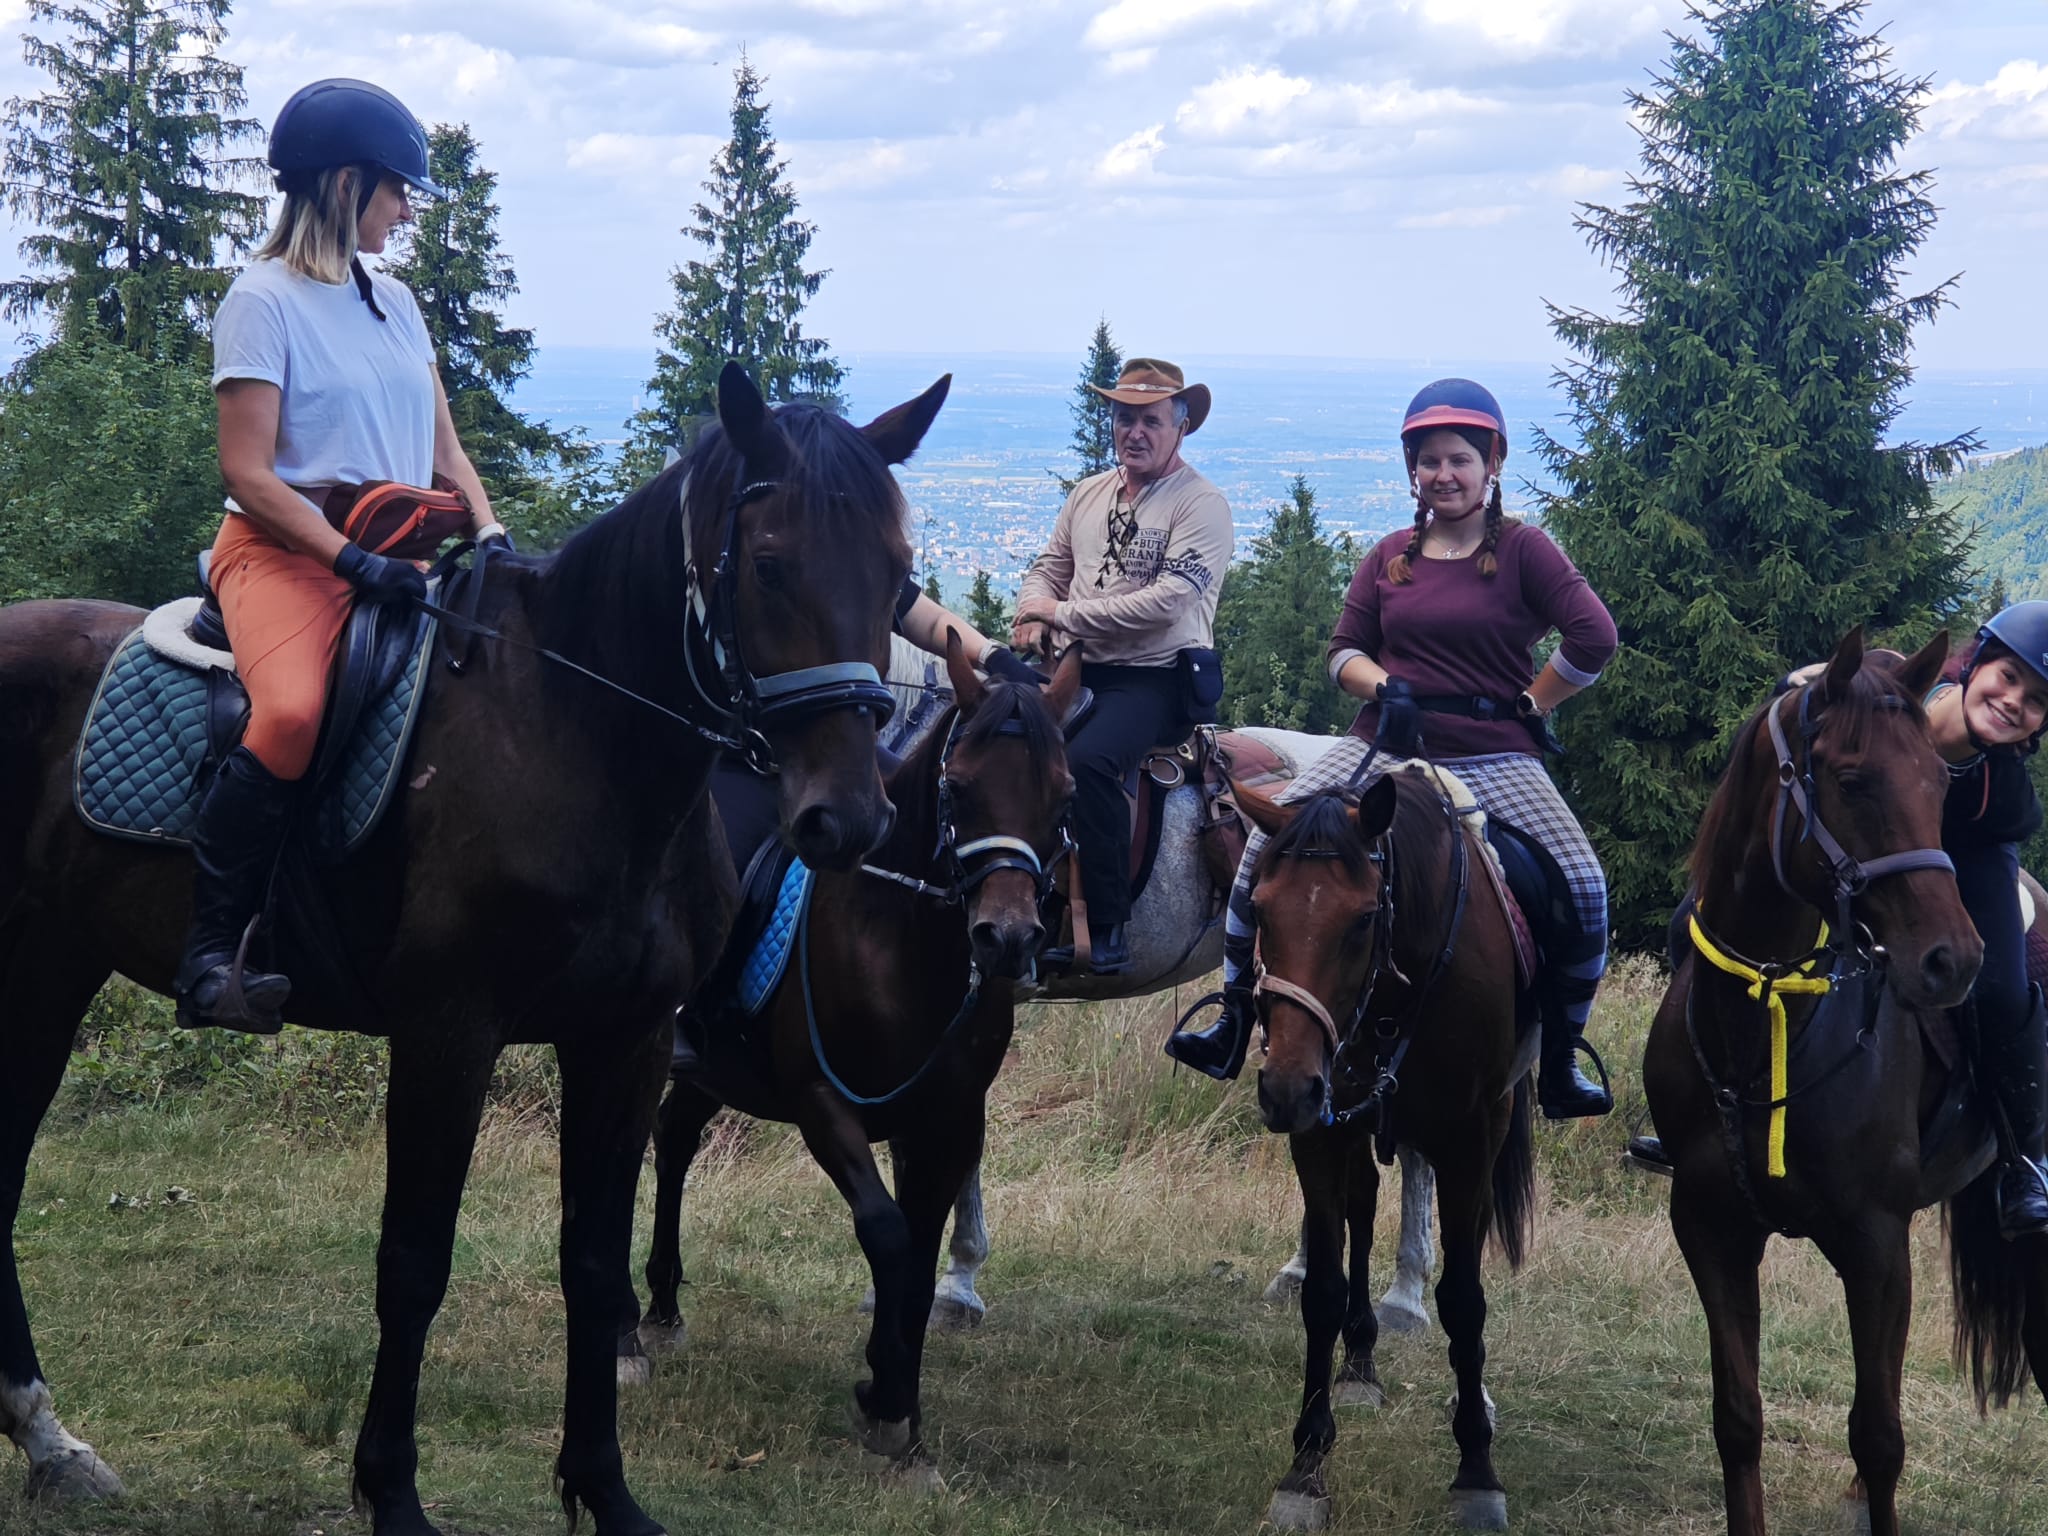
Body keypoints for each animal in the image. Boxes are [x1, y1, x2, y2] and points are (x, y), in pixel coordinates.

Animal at [0, 362, 947, 1536]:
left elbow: (594, 1264)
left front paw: (604, 1491)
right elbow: (413, 1263)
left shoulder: (626, 1043)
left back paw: (49, 1441)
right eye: (769, 564)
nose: (847, 819)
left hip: (53, 965)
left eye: (898, 575)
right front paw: (393, 1493)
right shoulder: (448, 1034)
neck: (576, 737)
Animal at [637, 637, 1081, 1476]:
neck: (899, 944)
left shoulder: (946, 1122)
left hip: (713, 1072)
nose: (1007, 940)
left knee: (674, 1141)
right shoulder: (824, 1104)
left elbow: (921, 1257)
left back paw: (664, 1306)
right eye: (960, 788)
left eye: (1064, 793)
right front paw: (886, 1397)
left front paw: (897, 1403)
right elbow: (888, 1235)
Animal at [1236, 766, 1535, 1532]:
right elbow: (1323, 1289)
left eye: (1364, 919)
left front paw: (1476, 1469)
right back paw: (1360, 1362)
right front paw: (1306, 1466)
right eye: (1258, 908)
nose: (1284, 1088)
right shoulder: (1321, 1129)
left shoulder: (1469, 1140)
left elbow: (1464, 1298)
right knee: (1363, 1211)